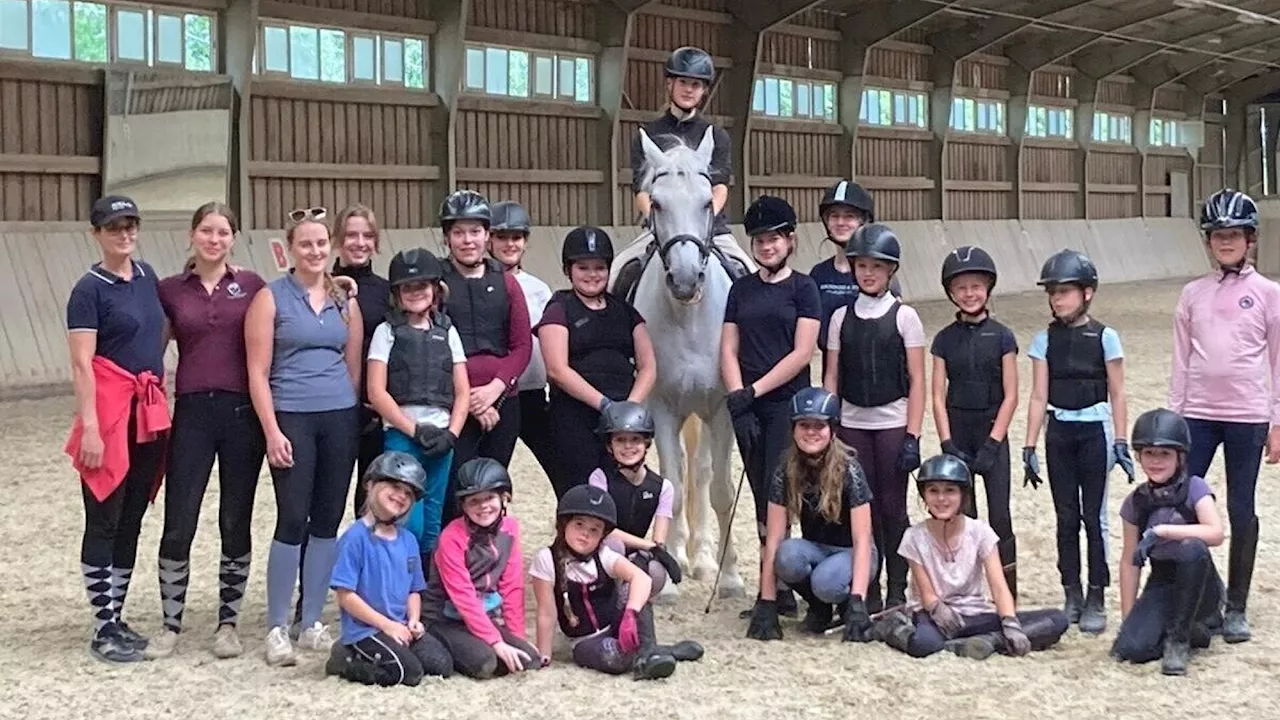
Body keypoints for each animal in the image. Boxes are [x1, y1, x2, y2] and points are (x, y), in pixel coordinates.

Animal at [614, 126, 747, 597]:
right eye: (656, 202)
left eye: (707, 202)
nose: (687, 280)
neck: (688, 317)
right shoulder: (662, 408)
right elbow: (671, 484)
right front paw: (668, 577)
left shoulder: (722, 408)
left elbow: (720, 488)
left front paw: (730, 577)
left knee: (703, 473)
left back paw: (704, 558)